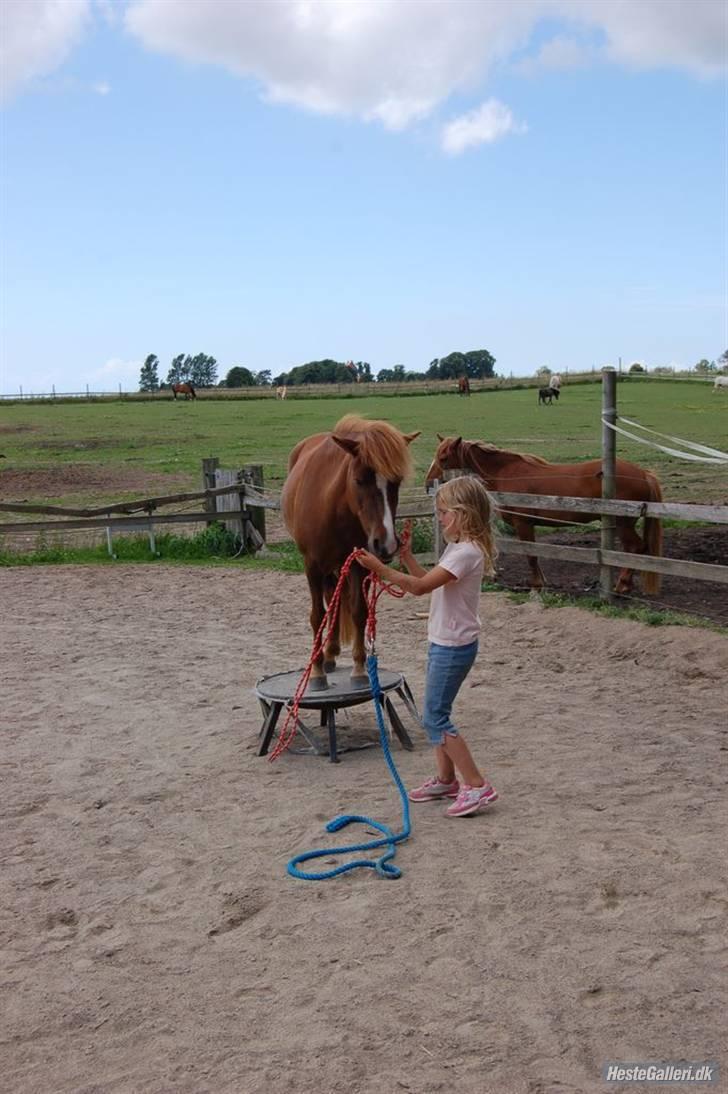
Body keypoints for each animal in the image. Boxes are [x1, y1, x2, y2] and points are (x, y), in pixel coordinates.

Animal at [284, 413, 420, 687]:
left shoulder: (359, 563)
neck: (333, 506)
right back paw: (326, 658)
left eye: (397, 482)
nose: (386, 544)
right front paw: (317, 672)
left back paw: (332, 653)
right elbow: (317, 615)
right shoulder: (311, 566)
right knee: (329, 603)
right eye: (359, 480)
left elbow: (359, 612)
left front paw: (359, 669)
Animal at [422, 433, 661, 595]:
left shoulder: (523, 524)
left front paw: (537, 584)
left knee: (636, 549)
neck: (505, 473)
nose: (427, 484)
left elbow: (531, 555)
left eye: (444, 458)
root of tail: (644, 474)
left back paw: (622, 585)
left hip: (624, 524)